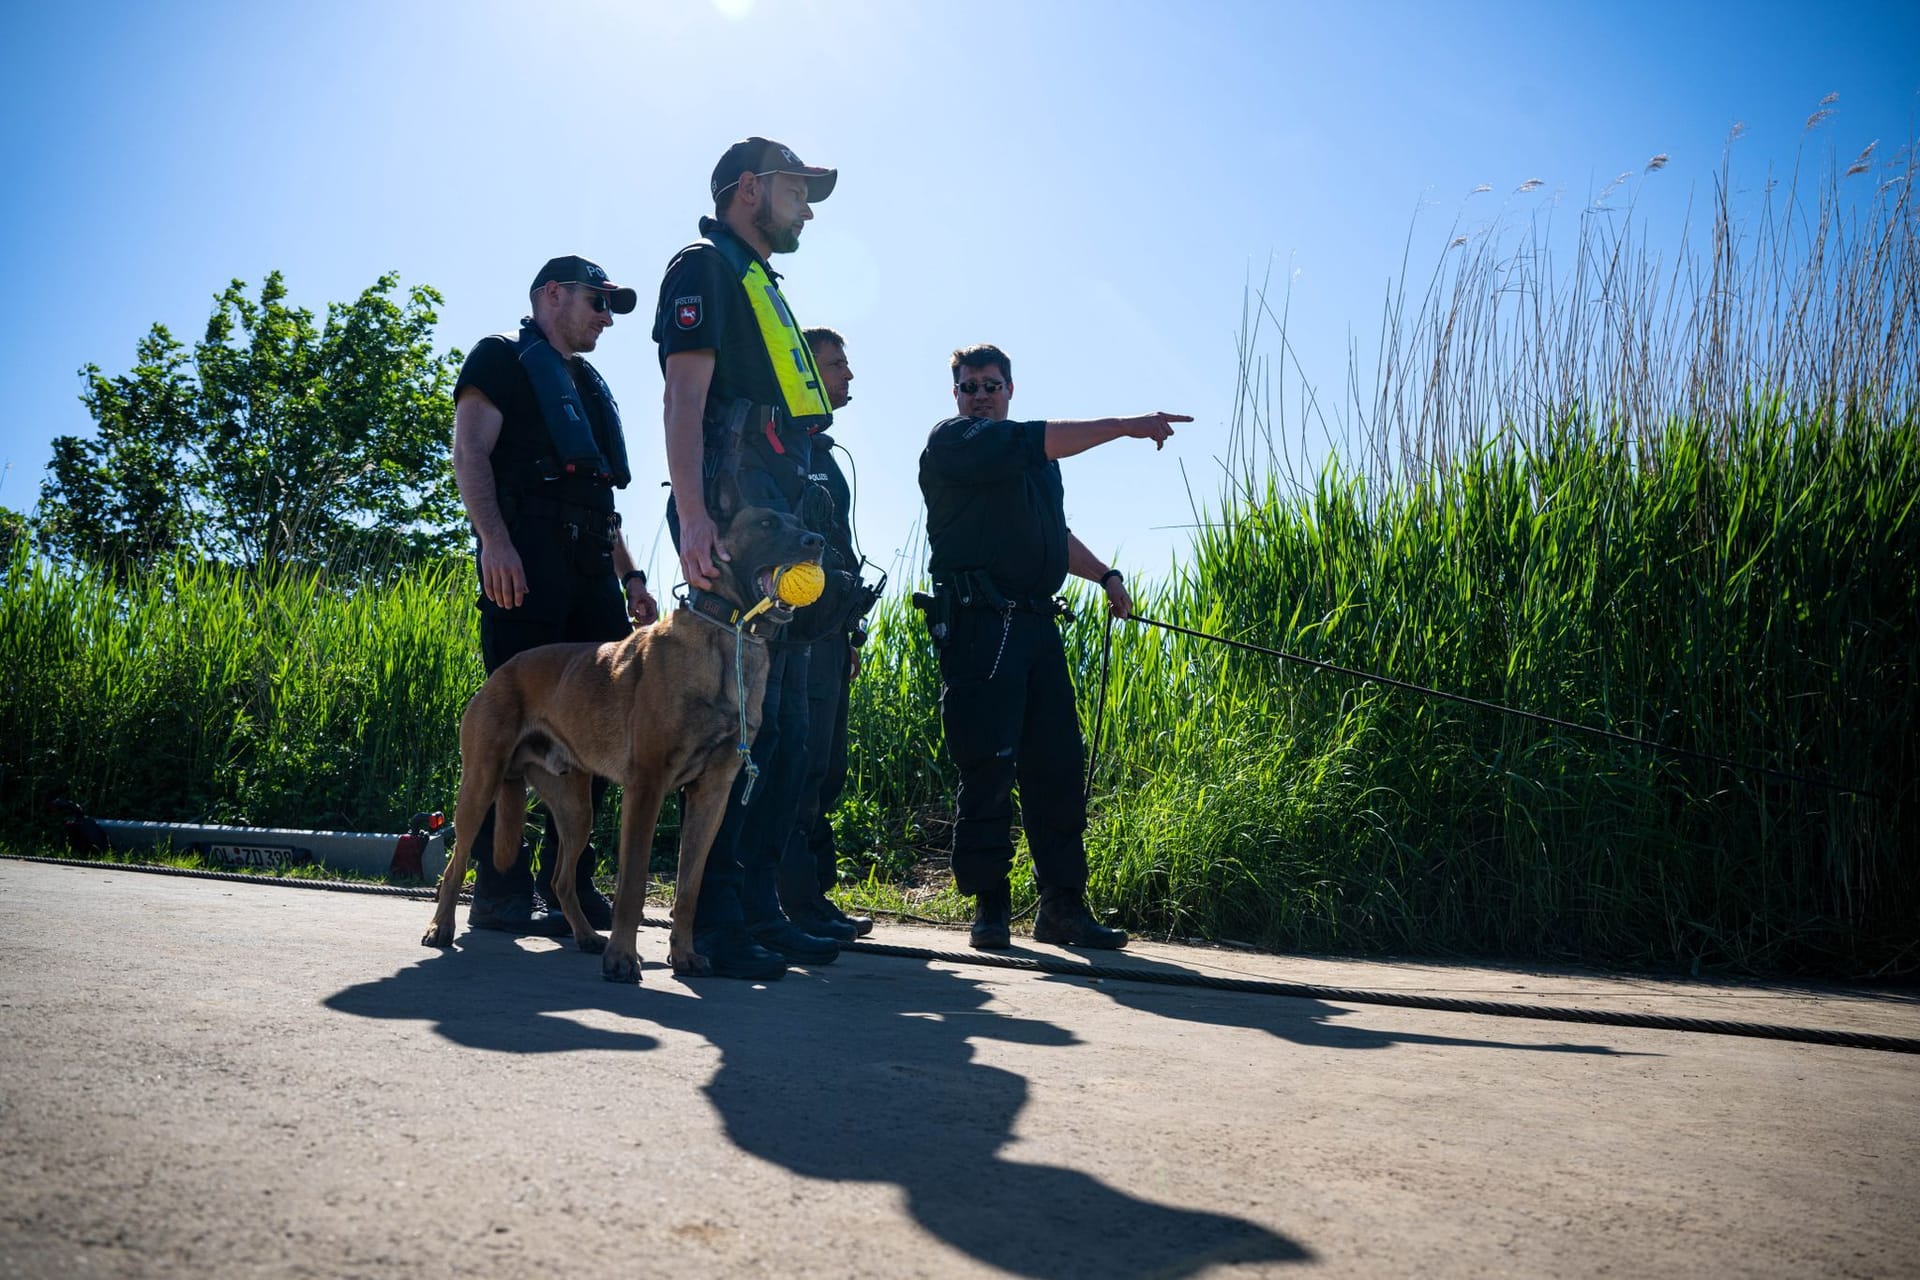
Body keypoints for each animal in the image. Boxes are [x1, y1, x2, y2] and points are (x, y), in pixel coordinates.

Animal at [424, 498, 821, 982]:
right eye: (767, 524)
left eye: (801, 524)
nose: (819, 542)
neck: (729, 637)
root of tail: (501, 672)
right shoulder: (646, 788)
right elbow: (632, 884)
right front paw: (622, 959)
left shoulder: (712, 795)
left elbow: (689, 888)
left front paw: (683, 954)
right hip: (480, 788)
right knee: (455, 863)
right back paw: (440, 927)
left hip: (576, 811)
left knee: (560, 879)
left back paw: (585, 935)